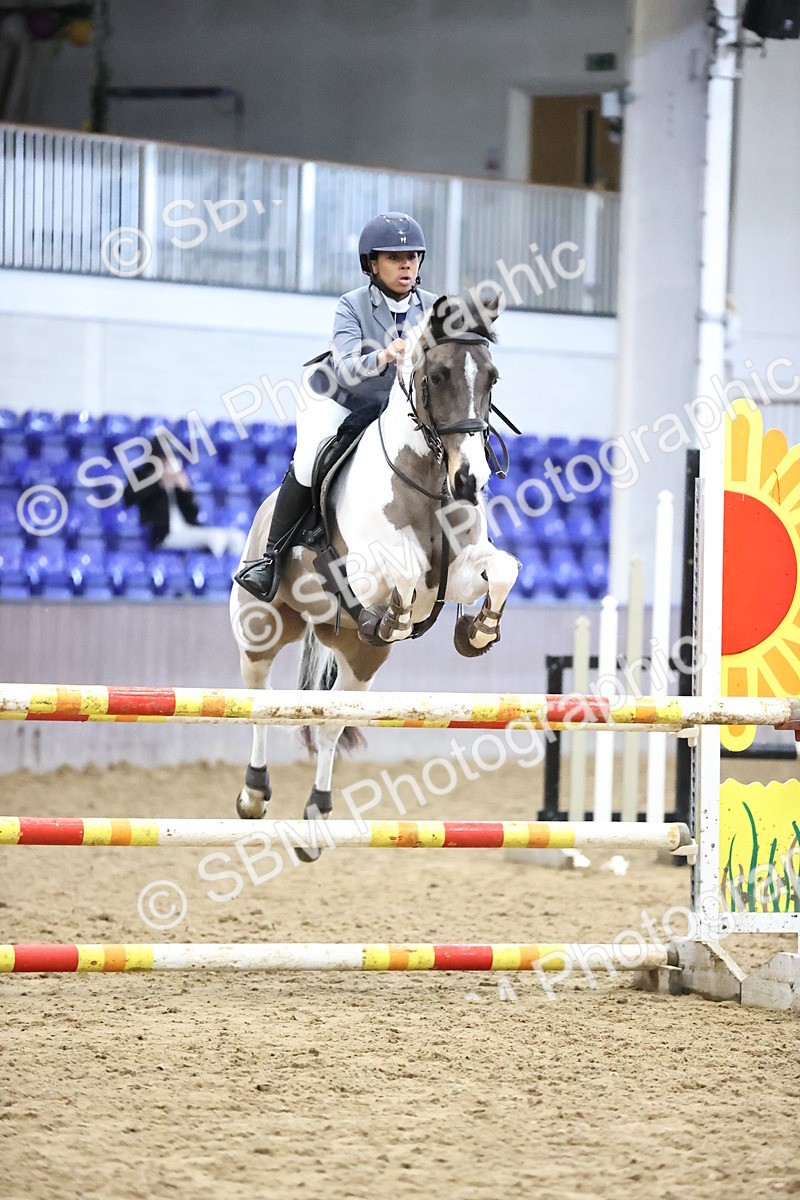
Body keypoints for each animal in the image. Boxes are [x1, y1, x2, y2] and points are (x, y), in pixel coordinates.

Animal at [229, 291, 520, 849]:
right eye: (438, 375)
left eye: (494, 378)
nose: (470, 481)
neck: (428, 476)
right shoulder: (363, 573)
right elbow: (402, 570)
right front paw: (395, 617)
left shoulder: (458, 574)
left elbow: (503, 569)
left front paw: (478, 631)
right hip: (261, 625)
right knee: (260, 697)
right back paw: (253, 792)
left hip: (359, 661)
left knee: (329, 724)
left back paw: (317, 816)